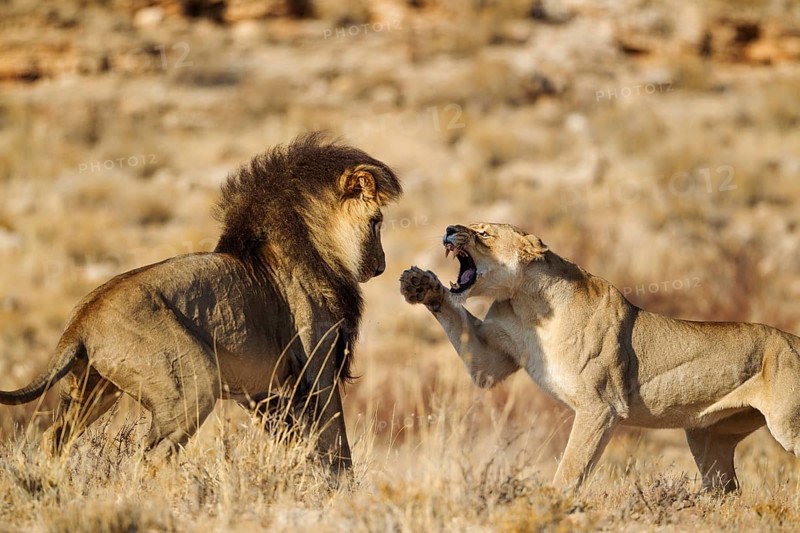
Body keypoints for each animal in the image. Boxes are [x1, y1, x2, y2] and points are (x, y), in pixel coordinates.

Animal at [0, 133, 402, 474]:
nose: (381, 266)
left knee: (54, 439)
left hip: (91, 390)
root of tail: (80, 322)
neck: (318, 245)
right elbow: (337, 443)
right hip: (193, 383)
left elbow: (298, 440)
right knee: (152, 457)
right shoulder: (319, 368)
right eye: (376, 221)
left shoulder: (263, 392)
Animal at [400, 222, 800, 492]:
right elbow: (458, 319)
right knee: (726, 489)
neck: (527, 304)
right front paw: (421, 284)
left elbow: (571, 466)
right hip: (709, 440)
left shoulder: (600, 406)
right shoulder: (491, 360)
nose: (449, 229)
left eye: (484, 233)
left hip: (786, 425)